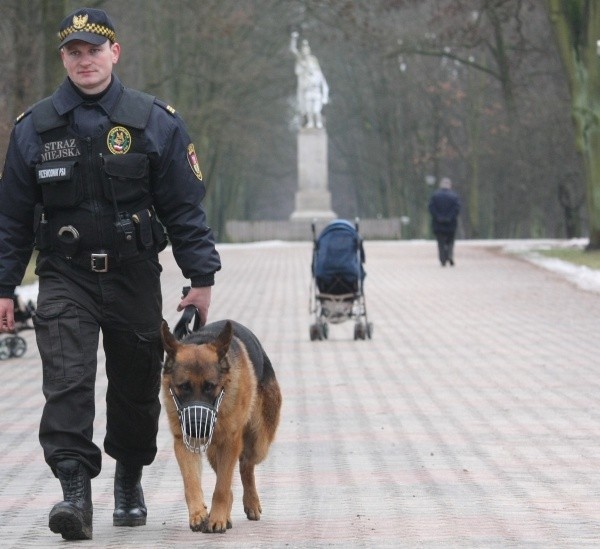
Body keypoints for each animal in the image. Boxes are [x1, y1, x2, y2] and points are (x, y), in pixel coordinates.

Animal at [159, 316, 282, 532]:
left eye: (210, 386)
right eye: (184, 387)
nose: (196, 426)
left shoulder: (230, 443)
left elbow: (222, 488)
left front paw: (217, 518)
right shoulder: (183, 443)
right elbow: (191, 483)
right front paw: (198, 513)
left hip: (258, 443)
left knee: (246, 465)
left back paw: (251, 502)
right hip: (214, 450)